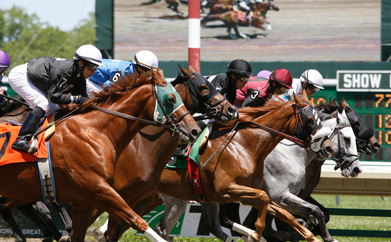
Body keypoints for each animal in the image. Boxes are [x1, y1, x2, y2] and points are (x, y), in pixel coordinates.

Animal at [0, 71, 201, 241]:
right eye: (171, 99)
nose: (195, 130)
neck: (97, 130)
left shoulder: (85, 202)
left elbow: (78, 233)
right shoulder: (100, 189)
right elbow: (137, 221)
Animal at [155, 108, 362, 242]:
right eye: (347, 138)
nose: (356, 169)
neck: (290, 154)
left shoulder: (288, 196)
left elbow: (315, 212)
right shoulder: (281, 196)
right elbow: (312, 212)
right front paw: (324, 236)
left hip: (198, 196)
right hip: (183, 198)